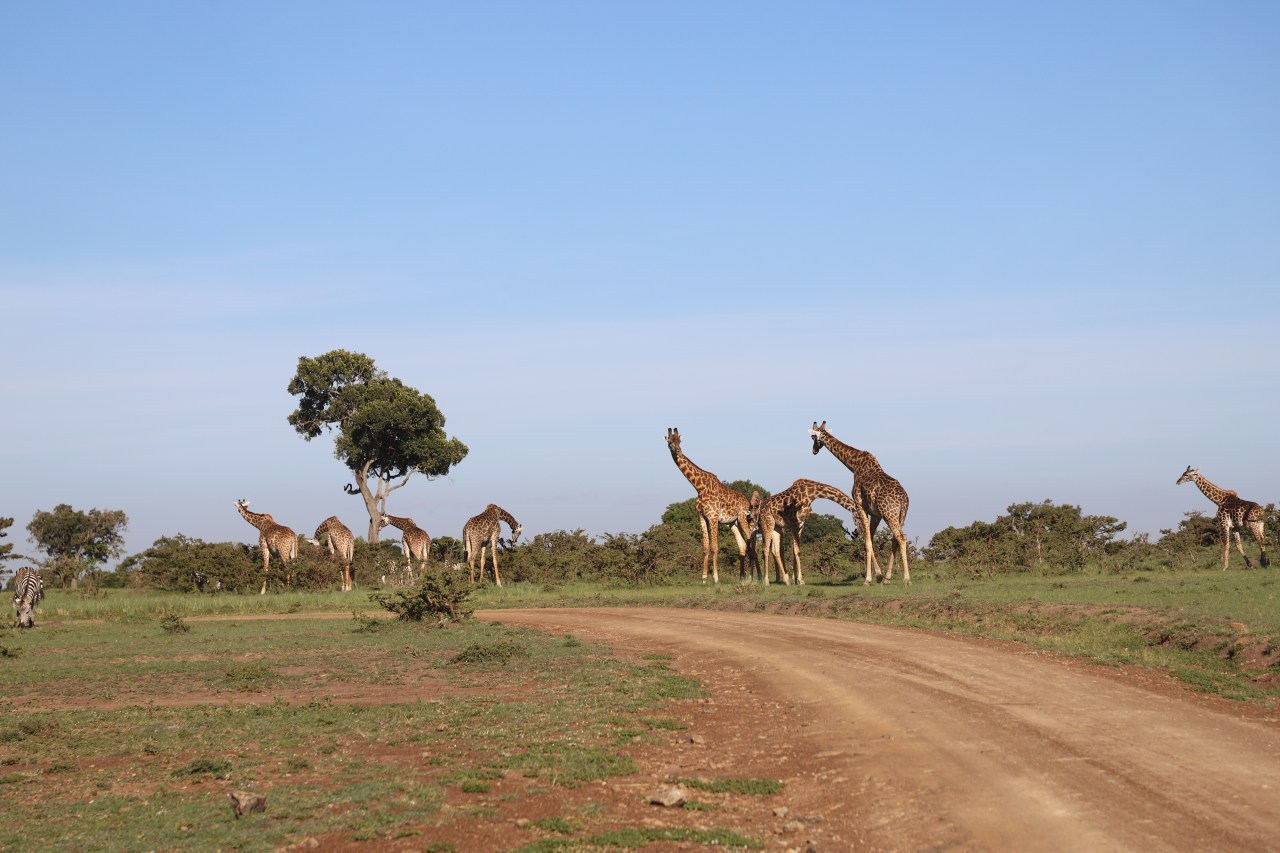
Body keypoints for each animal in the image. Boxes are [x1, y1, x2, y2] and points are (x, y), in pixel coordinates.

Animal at [665, 427, 756, 585]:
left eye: (680, 441)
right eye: (670, 441)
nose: (678, 451)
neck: (699, 487)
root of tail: (747, 502)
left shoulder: (713, 517)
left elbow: (714, 547)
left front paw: (715, 578)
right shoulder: (702, 517)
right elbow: (705, 547)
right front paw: (704, 578)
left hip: (743, 518)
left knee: (750, 542)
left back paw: (752, 577)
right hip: (733, 523)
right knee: (743, 545)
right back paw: (742, 578)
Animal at [808, 421, 912, 585]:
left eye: (813, 437)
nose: (814, 450)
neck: (854, 464)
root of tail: (903, 499)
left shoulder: (860, 505)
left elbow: (867, 541)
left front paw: (870, 578)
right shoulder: (876, 514)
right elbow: (870, 540)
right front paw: (879, 576)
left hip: (889, 514)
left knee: (901, 538)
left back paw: (906, 579)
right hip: (901, 515)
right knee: (895, 540)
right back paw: (888, 578)